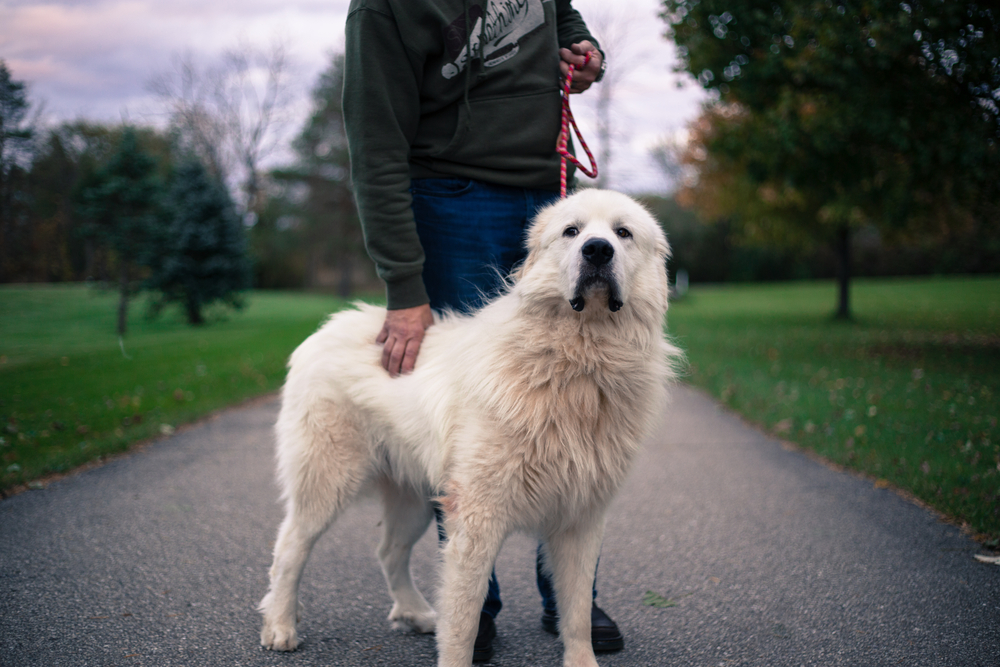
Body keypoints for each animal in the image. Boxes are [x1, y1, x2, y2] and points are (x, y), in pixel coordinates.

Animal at [258, 189, 680, 667]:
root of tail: (328, 325)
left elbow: (575, 614)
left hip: (417, 498)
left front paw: (582, 660)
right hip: (328, 481)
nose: (597, 250)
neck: (577, 363)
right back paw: (280, 626)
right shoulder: (477, 519)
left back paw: (415, 613)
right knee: (289, 549)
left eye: (622, 233)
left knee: (388, 552)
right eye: (572, 231)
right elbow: (463, 621)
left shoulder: (580, 519)